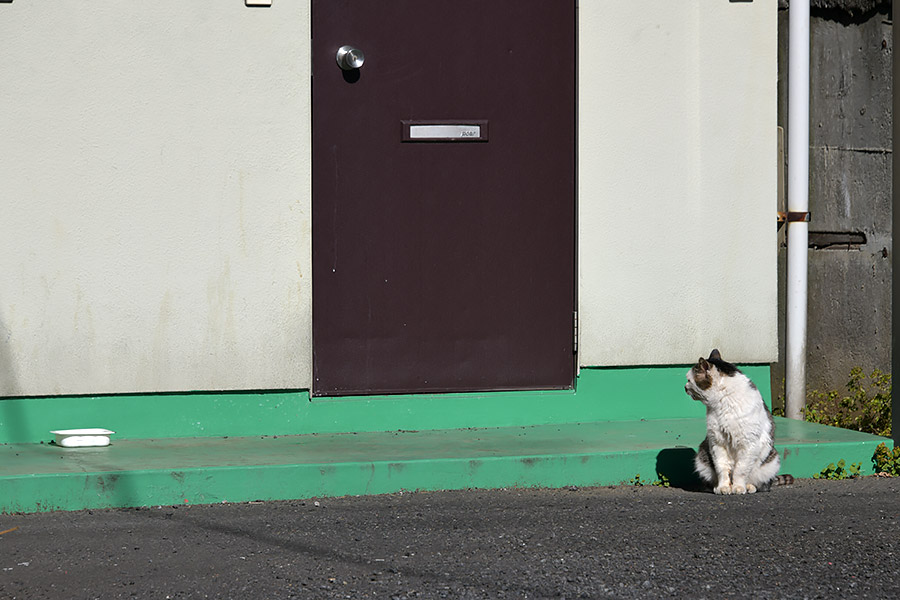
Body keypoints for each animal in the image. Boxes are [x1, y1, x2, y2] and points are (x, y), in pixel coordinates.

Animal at [684, 350, 792, 494]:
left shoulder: (748, 444)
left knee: (761, 483)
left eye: (689, 380)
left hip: (772, 460)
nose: (684, 387)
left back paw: (749, 487)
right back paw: (715, 487)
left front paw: (738, 487)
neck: (723, 401)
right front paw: (723, 487)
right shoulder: (717, 442)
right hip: (702, 456)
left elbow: (740, 470)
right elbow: (722, 469)